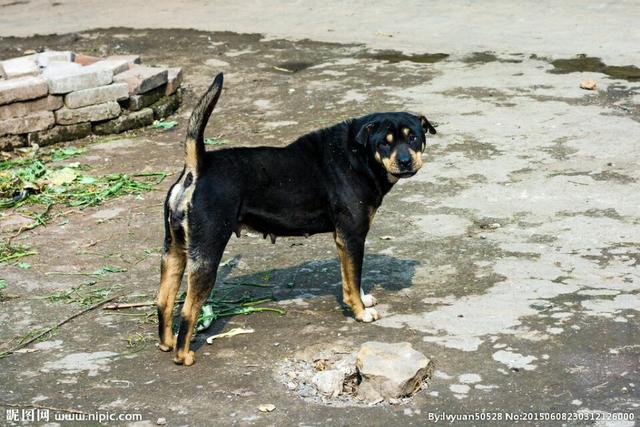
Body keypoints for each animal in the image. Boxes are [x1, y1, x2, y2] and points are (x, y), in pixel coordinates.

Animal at [156, 72, 436, 364]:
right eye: (384, 142)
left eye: (413, 138)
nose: (405, 161)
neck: (358, 154)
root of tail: (197, 167)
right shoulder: (352, 235)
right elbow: (354, 276)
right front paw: (360, 312)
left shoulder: (345, 240)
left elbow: (351, 277)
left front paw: (361, 299)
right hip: (207, 252)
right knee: (188, 309)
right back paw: (183, 354)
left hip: (174, 249)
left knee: (163, 300)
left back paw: (167, 342)